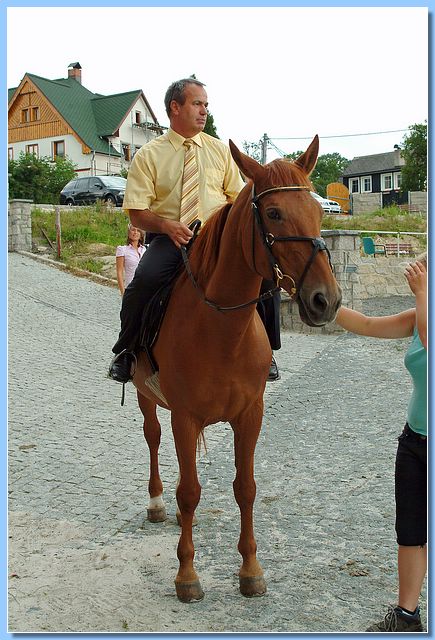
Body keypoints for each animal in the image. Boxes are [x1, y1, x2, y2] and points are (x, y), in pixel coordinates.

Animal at [132, 135, 342, 603]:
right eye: (274, 213)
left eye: (319, 211)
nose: (326, 300)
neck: (221, 330)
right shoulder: (186, 417)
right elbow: (189, 492)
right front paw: (187, 575)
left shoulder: (250, 416)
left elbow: (245, 489)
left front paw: (250, 571)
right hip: (144, 395)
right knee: (153, 438)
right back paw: (156, 503)